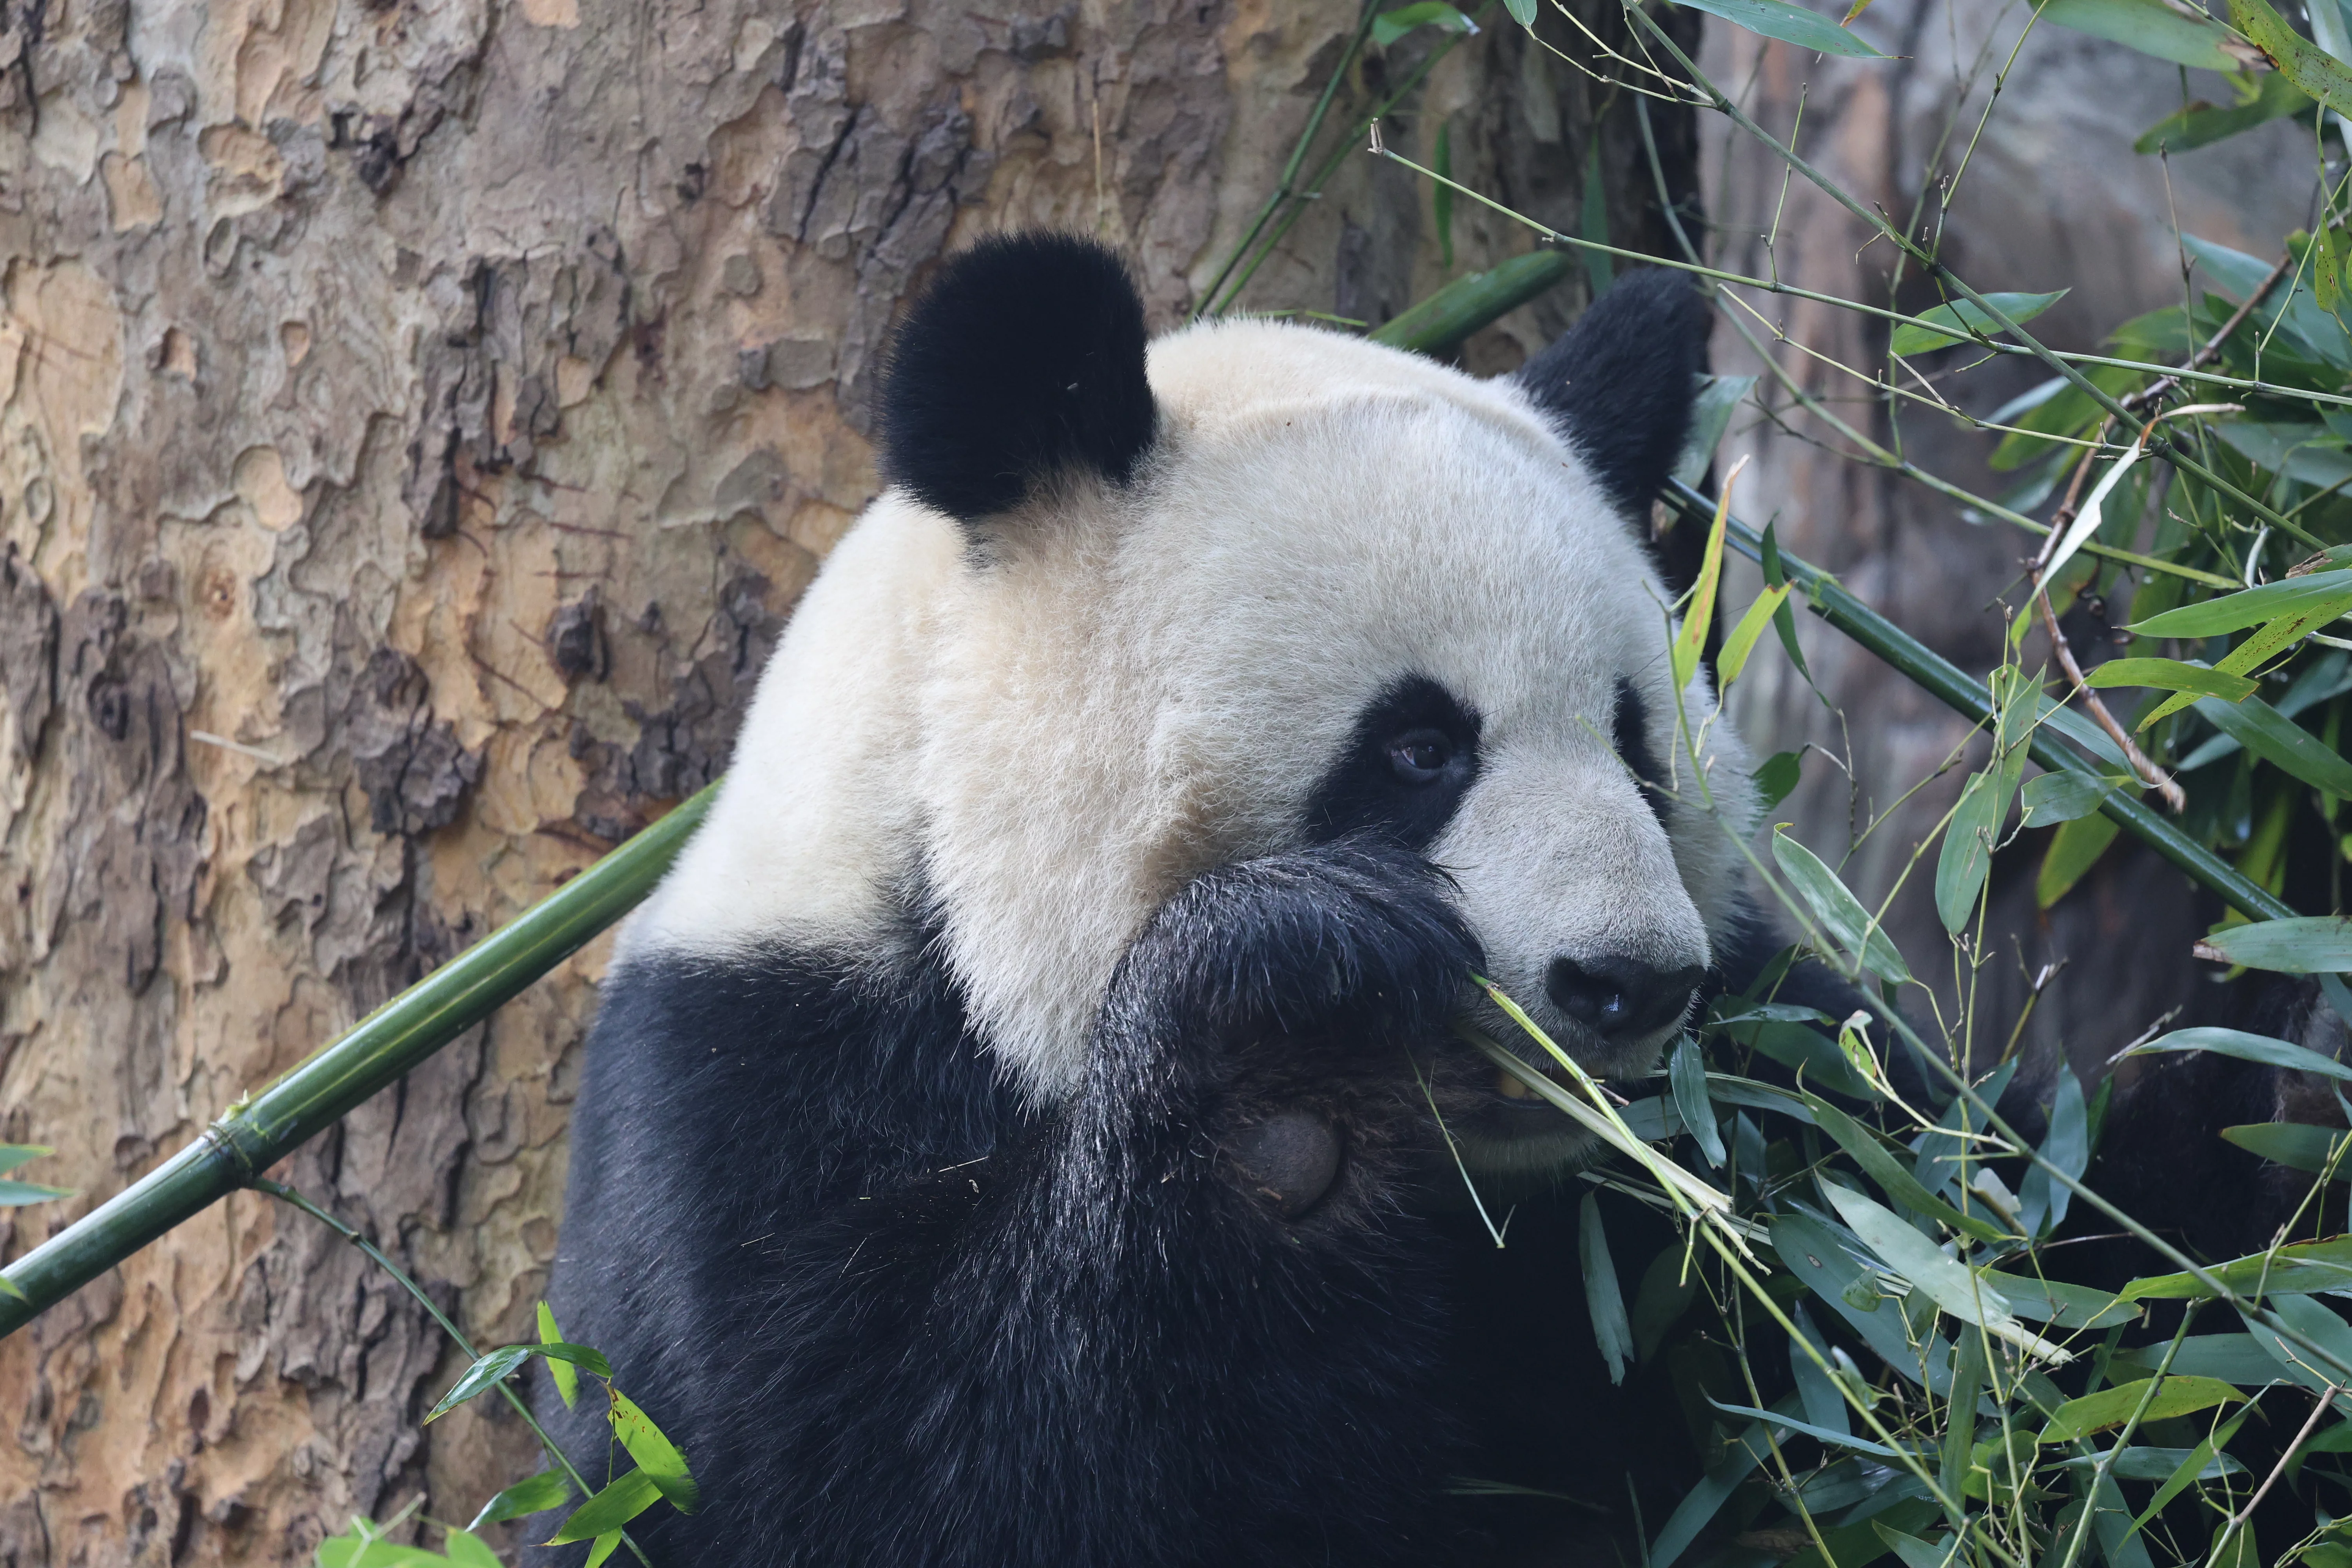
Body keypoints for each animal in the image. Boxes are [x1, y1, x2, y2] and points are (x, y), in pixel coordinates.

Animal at [535, 233, 1885, 1566]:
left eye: (1636, 744)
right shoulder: (746, 1089)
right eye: (1418, 749)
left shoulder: (1772, 1077)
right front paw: (1283, 1042)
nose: (1626, 981)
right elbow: (829, 1478)